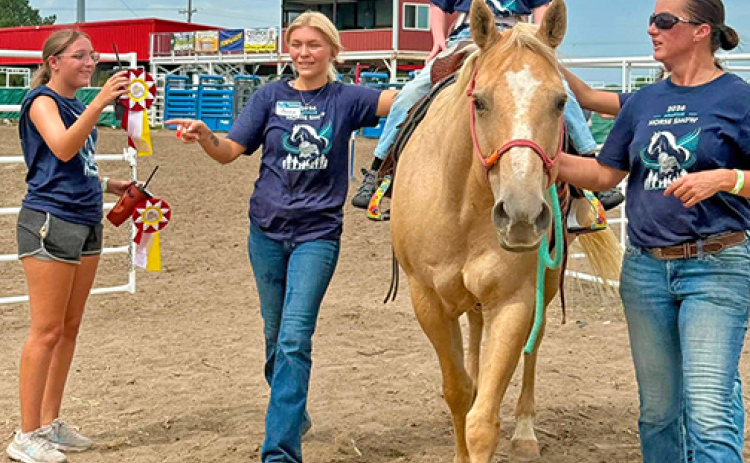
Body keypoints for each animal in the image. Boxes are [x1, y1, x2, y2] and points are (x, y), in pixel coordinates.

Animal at [389, 1, 621, 461]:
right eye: (479, 102)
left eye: (560, 101)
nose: (521, 215)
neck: (463, 204)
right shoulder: (428, 300)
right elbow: (458, 391)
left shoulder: (514, 301)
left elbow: (482, 420)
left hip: (547, 280)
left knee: (534, 345)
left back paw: (526, 430)